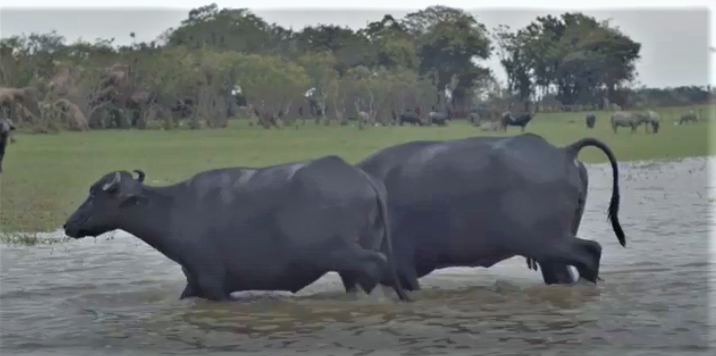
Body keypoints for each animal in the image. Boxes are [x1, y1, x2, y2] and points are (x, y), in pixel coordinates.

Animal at [64, 155, 412, 300]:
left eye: (95, 194)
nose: (68, 224)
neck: (174, 210)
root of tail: (361, 177)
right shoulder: (194, 283)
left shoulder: (214, 284)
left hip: (339, 252)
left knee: (377, 265)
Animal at [356, 134, 624, 292]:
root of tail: (564, 152)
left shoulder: (400, 269)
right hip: (550, 249)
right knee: (564, 272)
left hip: (548, 241)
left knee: (590, 252)